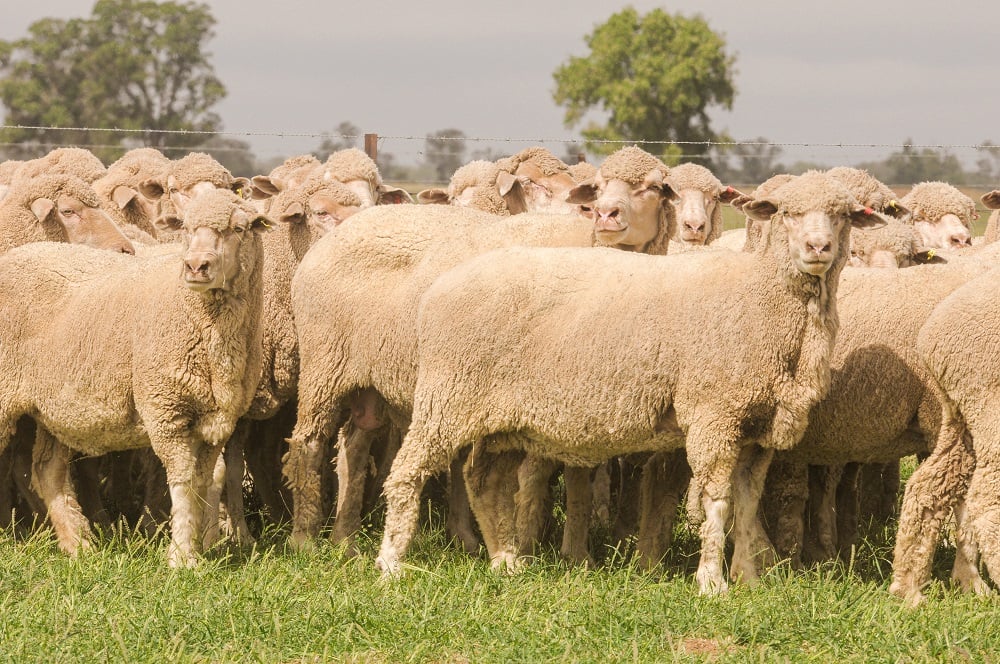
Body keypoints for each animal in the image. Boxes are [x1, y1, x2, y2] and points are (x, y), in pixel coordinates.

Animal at [0, 188, 270, 564]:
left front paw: (201, 545)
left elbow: (205, 481)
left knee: (47, 471)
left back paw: (79, 545)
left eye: (240, 228)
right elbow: (184, 481)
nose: (195, 266)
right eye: (186, 228)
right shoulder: (165, 411)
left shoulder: (217, 422)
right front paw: (182, 556)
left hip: (54, 404)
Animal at [286, 147, 684, 556]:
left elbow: (575, 471)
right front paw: (536, 544)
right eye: (600, 185)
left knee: (354, 446)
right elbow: (543, 473)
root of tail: (340, 233)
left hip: (371, 381)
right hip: (324, 365)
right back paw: (305, 538)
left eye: (654, 187)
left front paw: (572, 551)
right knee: (310, 442)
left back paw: (346, 537)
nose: (604, 214)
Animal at [376, 170, 884, 592]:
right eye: (786, 213)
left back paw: (505, 561)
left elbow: (746, 502)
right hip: (447, 397)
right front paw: (712, 583)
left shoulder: (757, 427)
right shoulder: (714, 414)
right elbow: (717, 503)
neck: (764, 300)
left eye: (843, 216)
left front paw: (749, 578)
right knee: (406, 472)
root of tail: (438, 289)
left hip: (500, 416)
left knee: (481, 478)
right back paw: (391, 564)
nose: (817, 248)